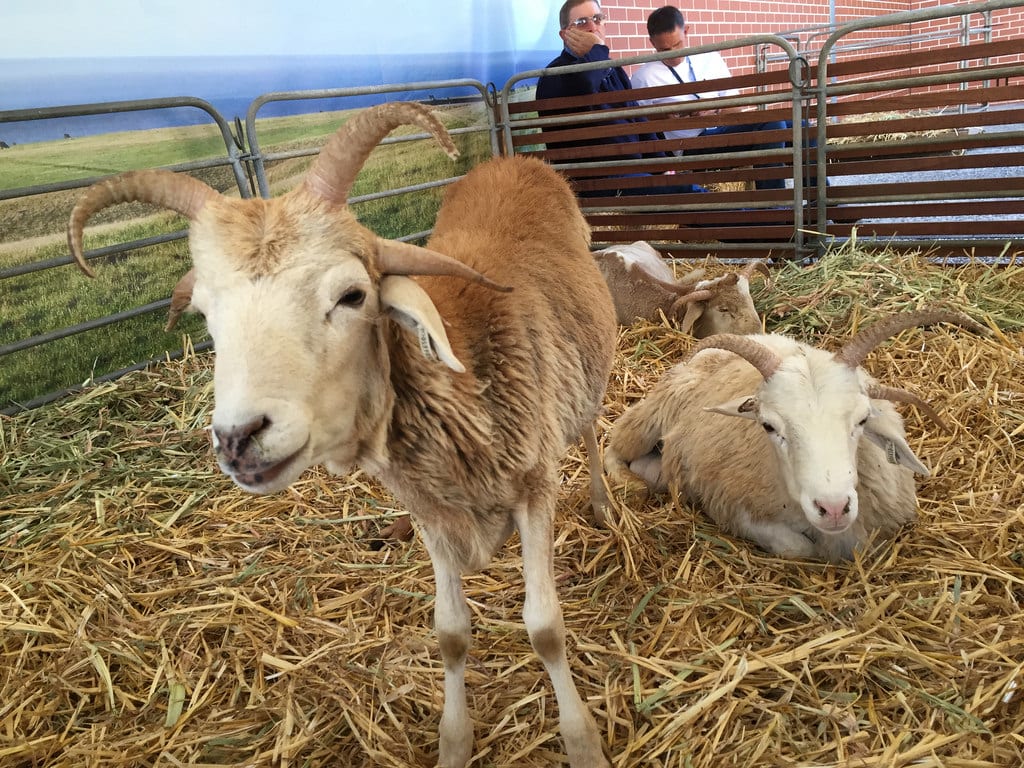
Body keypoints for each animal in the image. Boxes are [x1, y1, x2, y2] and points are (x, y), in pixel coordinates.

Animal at [72, 102, 618, 768]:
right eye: (205, 315)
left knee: (588, 428)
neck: (461, 378)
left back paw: (599, 502)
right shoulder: (432, 509)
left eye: (353, 295)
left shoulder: (533, 487)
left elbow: (544, 628)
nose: (237, 437)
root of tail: (511, 159)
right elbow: (450, 634)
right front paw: (454, 741)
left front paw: (582, 741)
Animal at [602, 309, 987, 565]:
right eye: (769, 427)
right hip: (650, 415)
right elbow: (799, 548)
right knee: (613, 446)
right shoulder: (732, 505)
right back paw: (632, 484)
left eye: (863, 419)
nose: (833, 508)